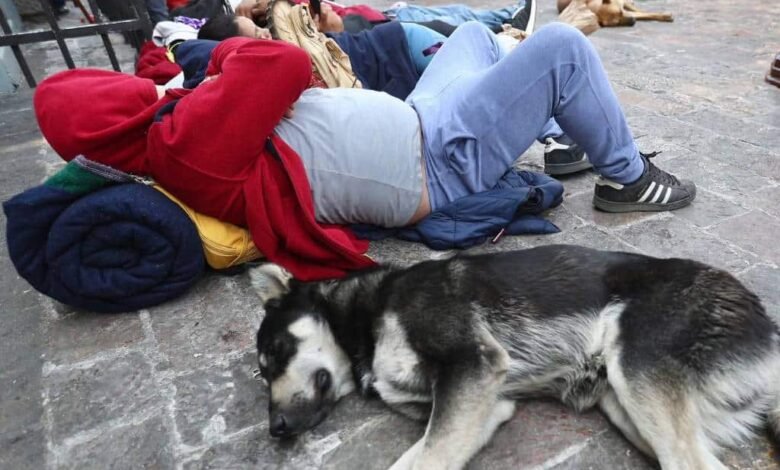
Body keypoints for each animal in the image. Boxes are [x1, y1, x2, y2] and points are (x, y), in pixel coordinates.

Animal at [251, 244, 780, 468]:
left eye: (273, 353)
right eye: (263, 368)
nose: (274, 429)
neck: (370, 309)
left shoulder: (473, 364)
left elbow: (422, 460)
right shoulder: (485, 401)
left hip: (635, 366)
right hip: (622, 403)